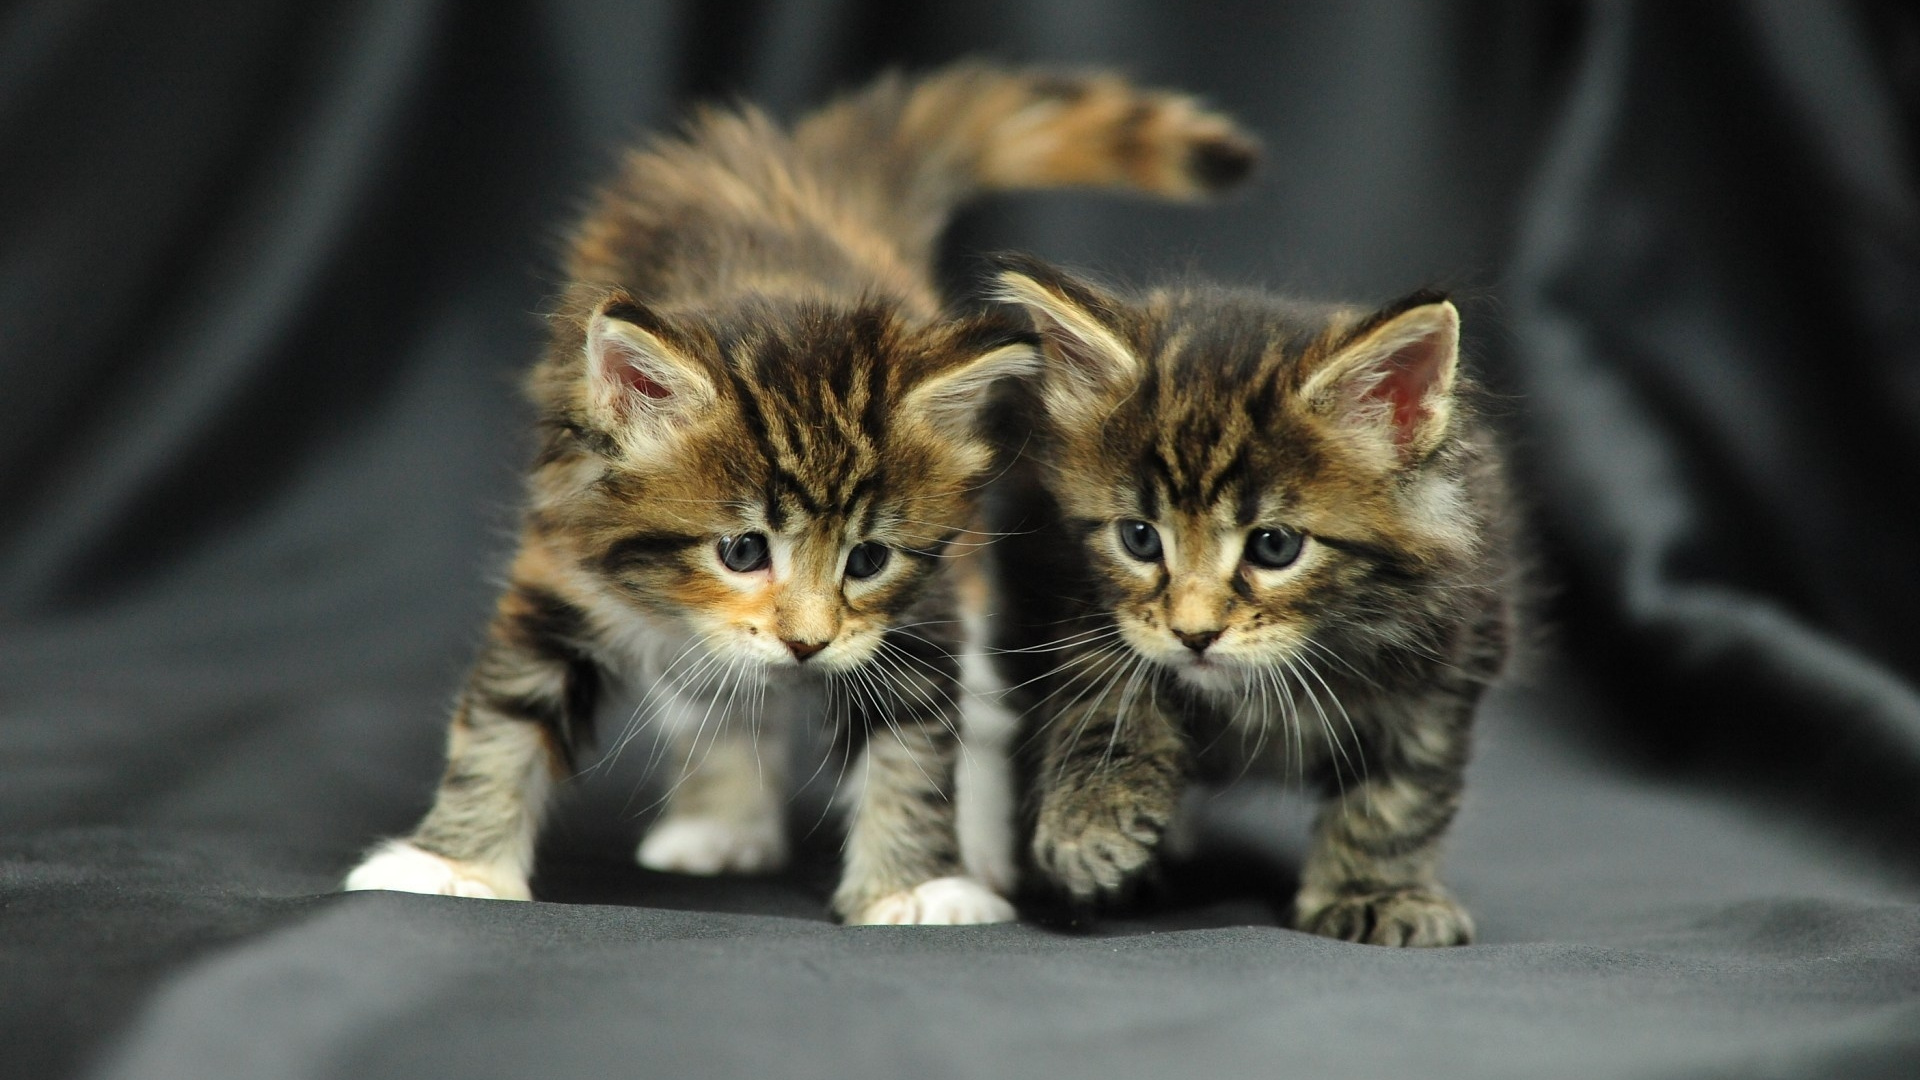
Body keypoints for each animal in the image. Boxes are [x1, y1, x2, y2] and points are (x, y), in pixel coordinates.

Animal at [345, 62, 1259, 922]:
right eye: (744, 551)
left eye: (868, 560)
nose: (807, 645)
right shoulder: (562, 564)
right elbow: (505, 719)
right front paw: (451, 863)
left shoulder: (920, 608)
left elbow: (915, 745)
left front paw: (916, 886)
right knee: (713, 696)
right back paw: (718, 824)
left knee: (983, 711)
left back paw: (980, 847)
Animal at [990, 255, 1512, 937]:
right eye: (1139, 538)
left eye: (1274, 547)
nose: (1194, 634)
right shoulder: (1074, 588)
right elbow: (1105, 691)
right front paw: (1092, 816)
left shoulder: (1447, 663)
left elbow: (1400, 795)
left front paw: (1374, 893)